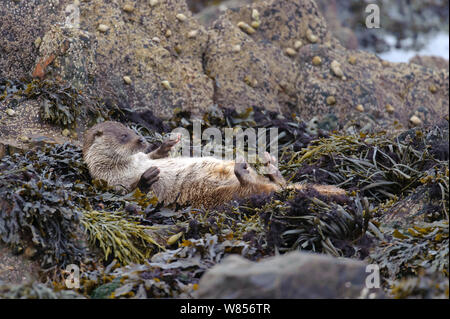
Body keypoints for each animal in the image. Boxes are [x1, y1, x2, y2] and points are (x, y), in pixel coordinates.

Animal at [82, 121, 344, 209]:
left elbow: (156, 156)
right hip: (223, 196)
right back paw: (243, 170)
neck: (130, 166)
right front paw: (148, 177)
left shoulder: (143, 158)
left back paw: (268, 164)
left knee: (276, 183)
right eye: (124, 136)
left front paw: (168, 143)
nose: (142, 140)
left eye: (131, 129)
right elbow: (135, 194)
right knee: (252, 189)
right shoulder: (113, 184)